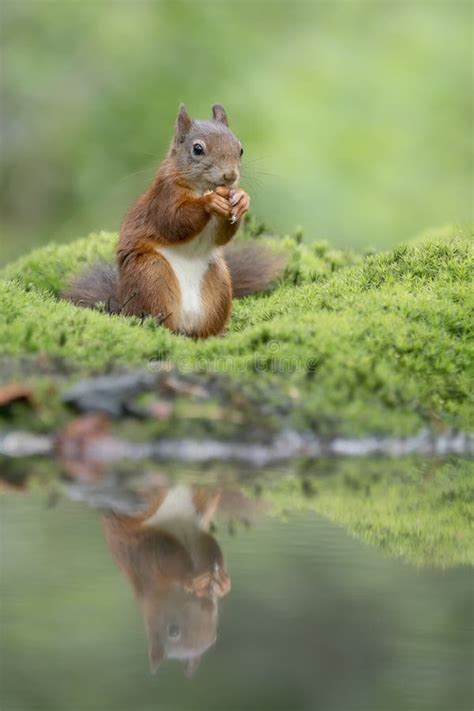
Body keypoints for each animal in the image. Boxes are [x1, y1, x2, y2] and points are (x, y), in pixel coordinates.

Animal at [64, 103, 286, 340]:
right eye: (197, 149)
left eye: (240, 149)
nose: (230, 176)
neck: (201, 187)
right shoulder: (164, 196)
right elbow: (174, 222)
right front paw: (209, 202)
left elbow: (221, 236)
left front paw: (242, 199)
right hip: (151, 274)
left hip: (219, 282)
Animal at [103, 486, 231, 676]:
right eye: (172, 631)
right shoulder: (147, 558)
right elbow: (166, 561)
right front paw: (191, 580)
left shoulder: (199, 531)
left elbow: (212, 547)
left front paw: (222, 583)